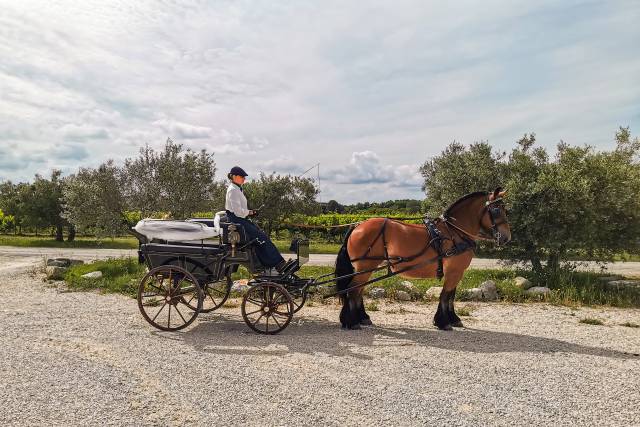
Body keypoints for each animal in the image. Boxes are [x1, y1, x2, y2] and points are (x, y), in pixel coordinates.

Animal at [336, 187, 510, 332]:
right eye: (496, 210)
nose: (507, 238)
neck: (455, 232)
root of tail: (357, 226)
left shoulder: (456, 272)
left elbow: (451, 295)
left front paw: (453, 319)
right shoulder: (454, 271)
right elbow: (445, 295)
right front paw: (443, 322)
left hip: (366, 268)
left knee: (358, 291)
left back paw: (362, 318)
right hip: (365, 267)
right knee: (352, 290)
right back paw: (351, 322)